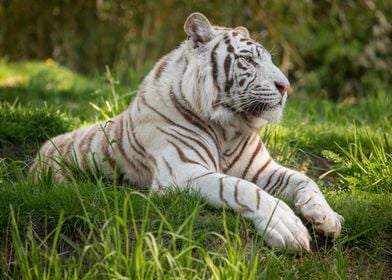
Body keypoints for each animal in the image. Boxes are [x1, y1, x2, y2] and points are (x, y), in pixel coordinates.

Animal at [31, 12, 344, 250]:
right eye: (248, 60)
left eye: (269, 60)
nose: (285, 86)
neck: (229, 128)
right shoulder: (180, 171)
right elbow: (240, 188)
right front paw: (287, 227)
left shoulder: (261, 169)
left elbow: (304, 180)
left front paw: (326, 217)